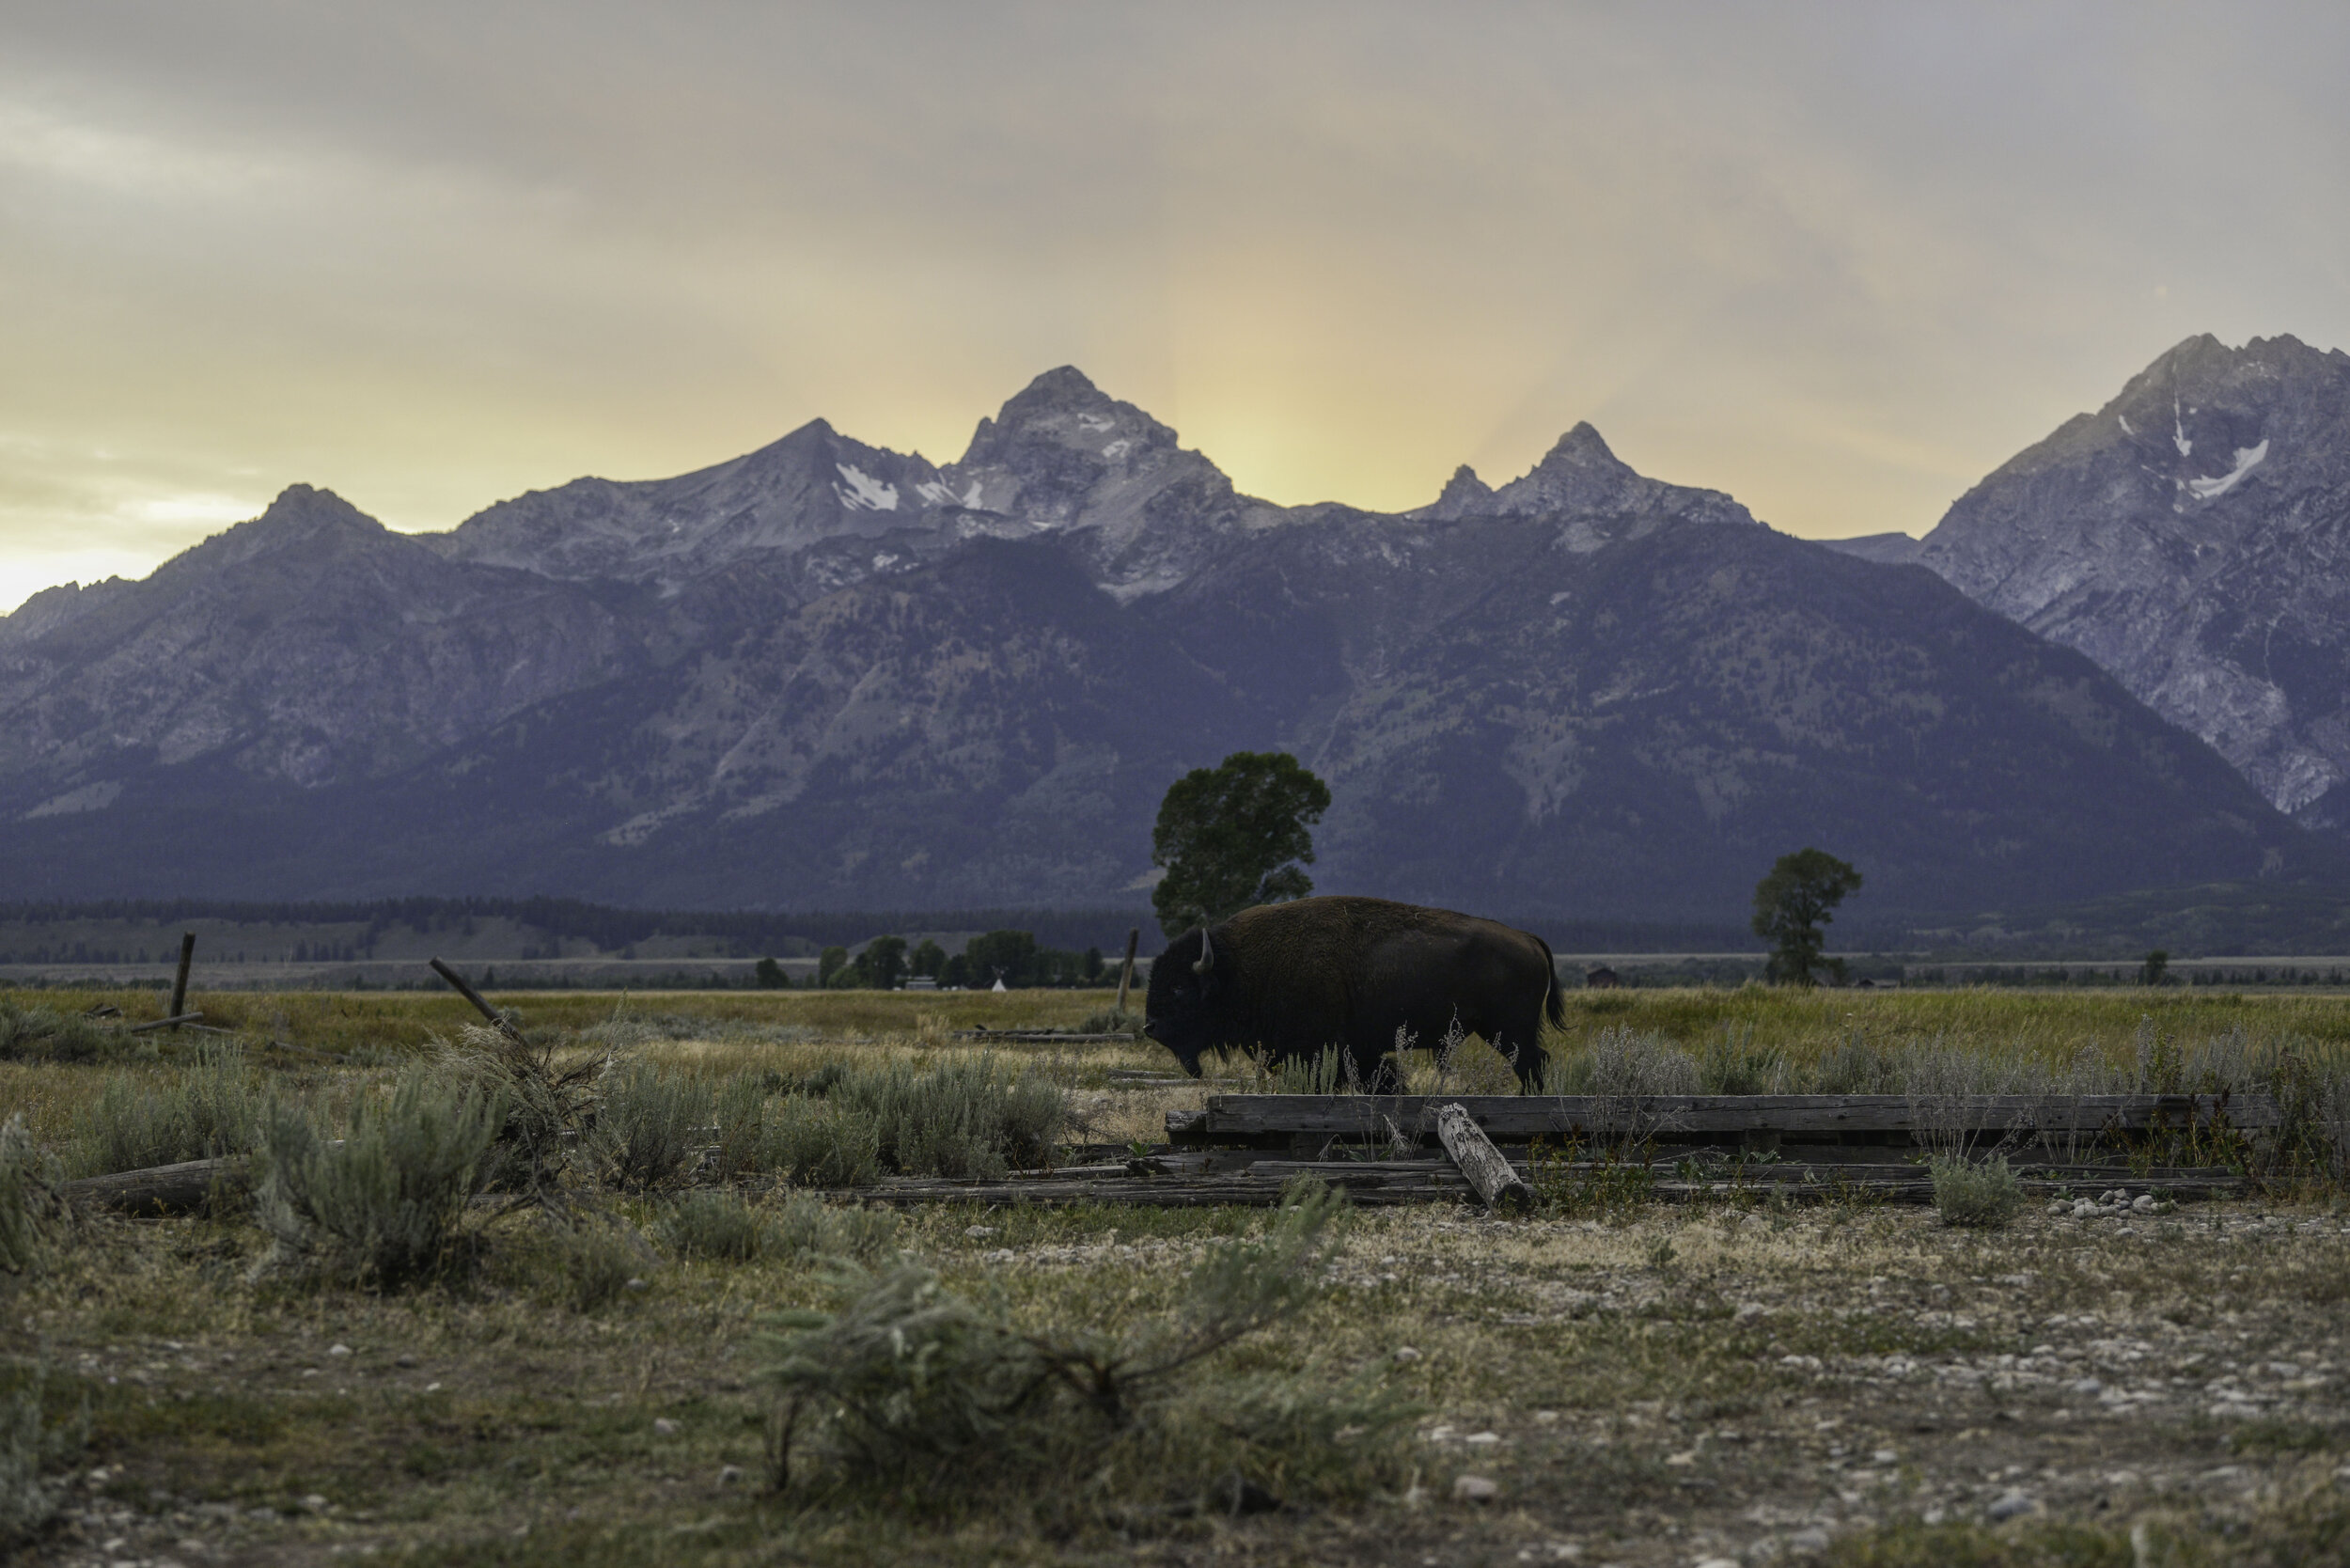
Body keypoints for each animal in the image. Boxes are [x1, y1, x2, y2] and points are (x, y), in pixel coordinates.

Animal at [1143, 895, 1563, 1090]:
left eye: (1179, 987)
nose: (1150, 1027)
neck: (1238, 966)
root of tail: (1528, 938)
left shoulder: (1319, 1050)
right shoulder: (1357, 1052)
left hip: (1509, 1031)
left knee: (1532, 1064)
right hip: (1501, 1032)